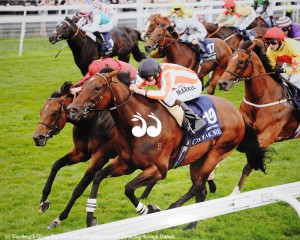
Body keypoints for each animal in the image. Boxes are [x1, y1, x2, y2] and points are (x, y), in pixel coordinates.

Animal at [67, 68, 266, 229]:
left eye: (97, 88)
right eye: (84, 85)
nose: (71, 110)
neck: (141, 125)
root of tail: (237, 113)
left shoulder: (159, 169)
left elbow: (129, 187)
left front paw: (149, 209)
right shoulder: (126, 163)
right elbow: (98, 176)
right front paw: (90, 218)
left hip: (217, 153)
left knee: (197, 185)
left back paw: (173, 208)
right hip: (198, 159)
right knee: (200, 191)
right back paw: (190, 226)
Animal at [218, 41, 300, 194]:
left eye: (241, 61)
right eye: (230, 59)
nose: (222, 83)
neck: (262, 100)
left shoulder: (266, 137)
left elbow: (250, 163)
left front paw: (235, 192)